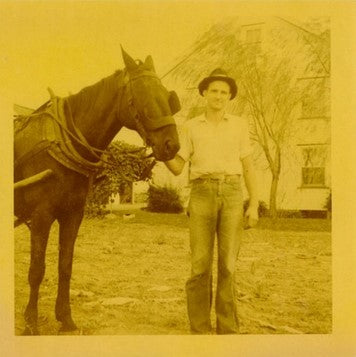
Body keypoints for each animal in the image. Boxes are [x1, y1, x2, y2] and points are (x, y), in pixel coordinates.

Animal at [13, 48, 181, 334]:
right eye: (143, 95)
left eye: (166, 95)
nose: (172, 145)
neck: (64, 141)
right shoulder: (41, 215)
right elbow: (36, 270)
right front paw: (31, 322)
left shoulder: (73, 214)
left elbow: (65, 266)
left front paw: (66, 318)